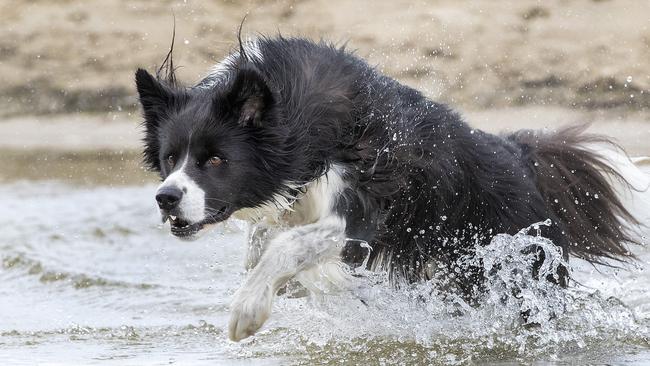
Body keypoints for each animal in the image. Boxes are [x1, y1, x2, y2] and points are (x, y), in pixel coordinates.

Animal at [135, 35, 644, 342]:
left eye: (215, 160)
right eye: (169, 159)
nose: (166, 198)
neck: (293, 114)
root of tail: (520, 155)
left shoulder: (360, 206)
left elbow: (288, 245)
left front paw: (249, 309)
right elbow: (268, 240)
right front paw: (280, 281)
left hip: (517, 269)